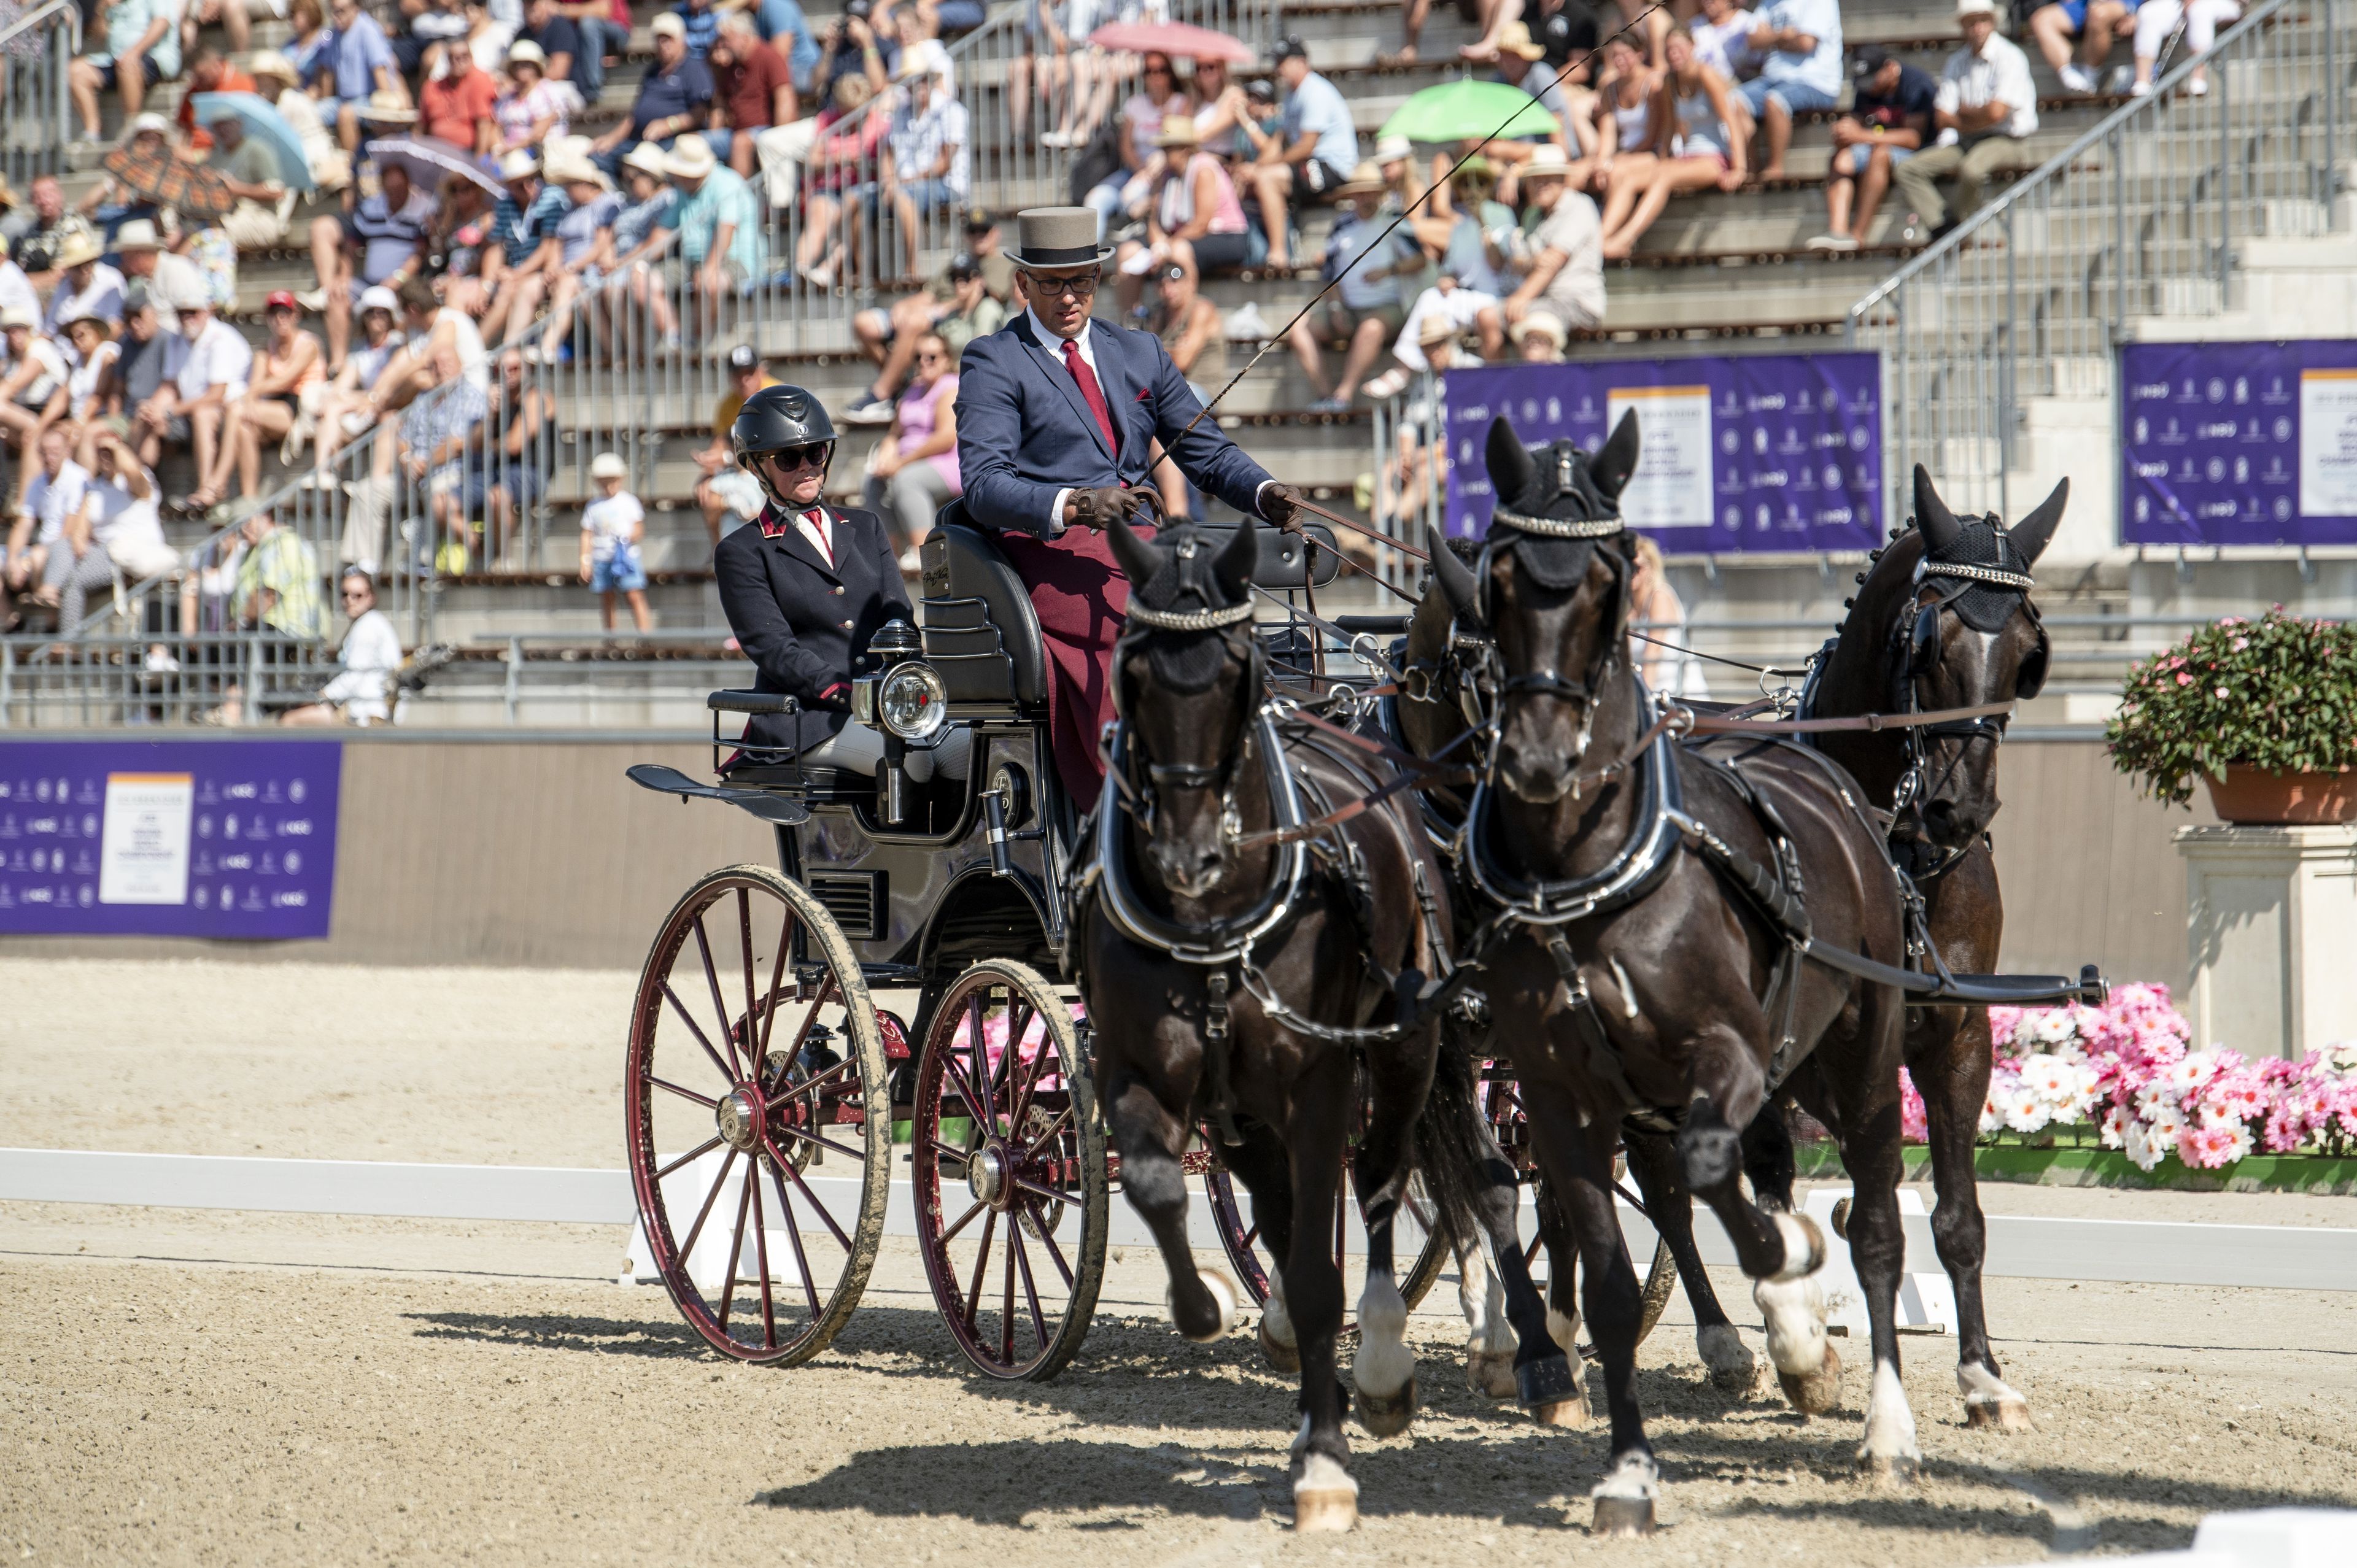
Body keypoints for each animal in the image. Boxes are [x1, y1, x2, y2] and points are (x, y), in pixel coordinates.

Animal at [1079, 511, 1565, 1527]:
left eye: (1241, 677)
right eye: (1130, 674)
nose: (1186, 854)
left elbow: (1480, 1185)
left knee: (1382, 1180)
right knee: (1328, 1194)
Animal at [1414, 415, 1914, 1527]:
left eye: (1613, 578)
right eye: (1498, 583)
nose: (1538, 758)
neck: (1582, 875)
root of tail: (1822, 771)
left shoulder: (1728, 1056)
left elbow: (1710, 1172)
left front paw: (1787, 1271)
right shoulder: (1553, 1089)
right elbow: (1586, 1256)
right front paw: (1626, 1468)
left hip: (1862, 1054)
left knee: (1874, 1226)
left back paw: (1884, 1421)